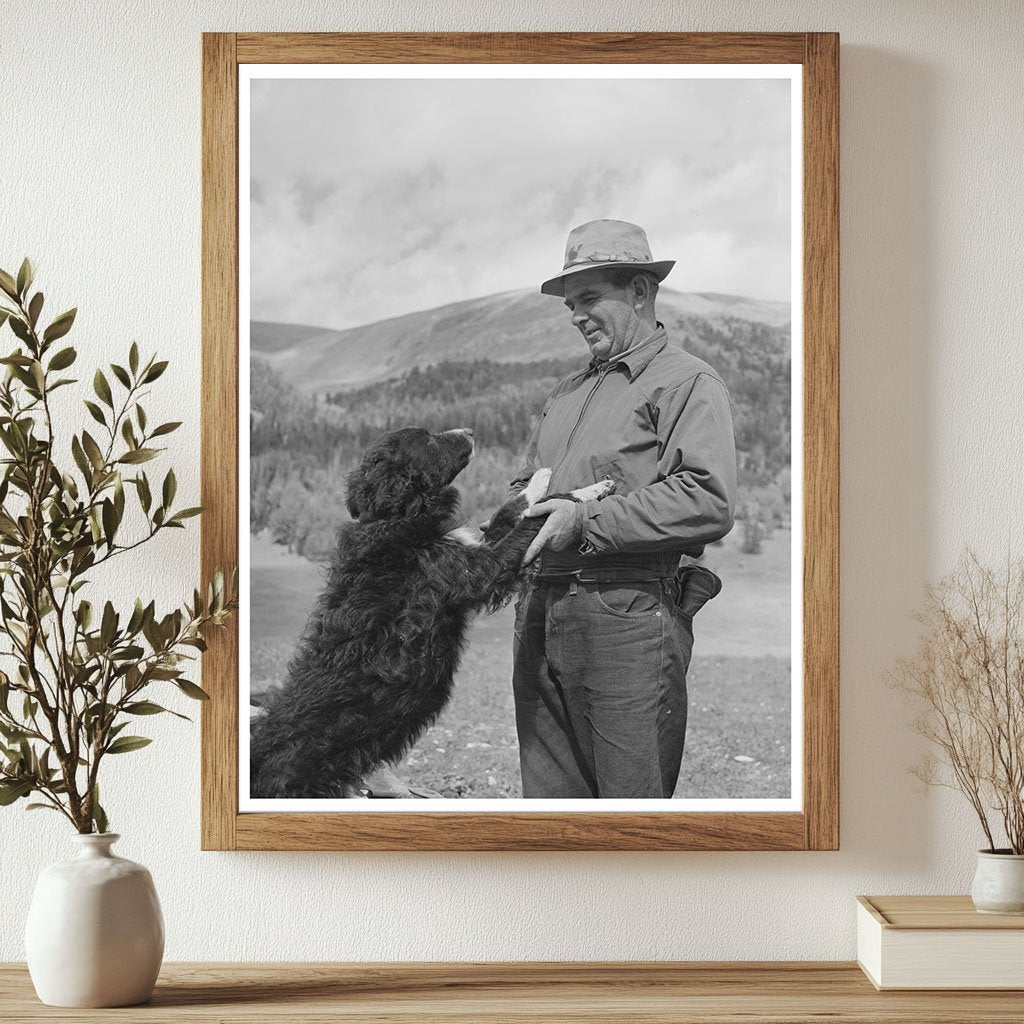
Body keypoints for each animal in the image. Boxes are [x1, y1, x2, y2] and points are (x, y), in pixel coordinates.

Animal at [250, 425, 610, 798]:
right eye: (427, 439)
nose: (469, 431)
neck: (398, 518)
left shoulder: (475, 546)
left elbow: (512, 510)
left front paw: (545, 479)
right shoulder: (483, 569)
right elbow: (532, 522)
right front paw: (583, 492)